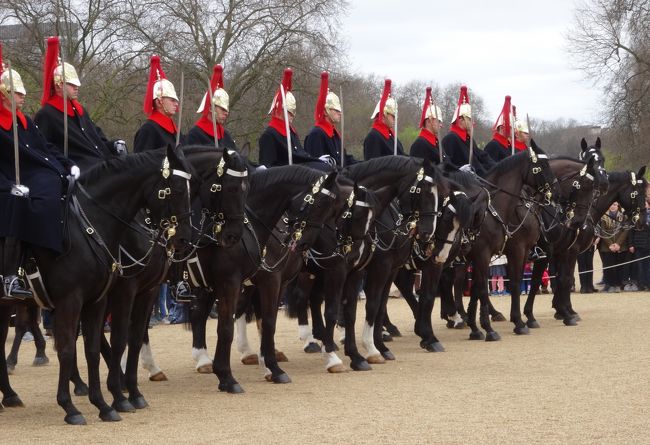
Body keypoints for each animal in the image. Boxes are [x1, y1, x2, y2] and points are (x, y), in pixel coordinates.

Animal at [0, 146, 192, 424]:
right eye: (177, 189)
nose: (185, 239)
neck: (90, 225)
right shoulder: (82, 299)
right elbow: (72, 348)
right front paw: (71, 407)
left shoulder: (104, 299)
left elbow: (95, 347)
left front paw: (105, 403)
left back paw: (10, 395)